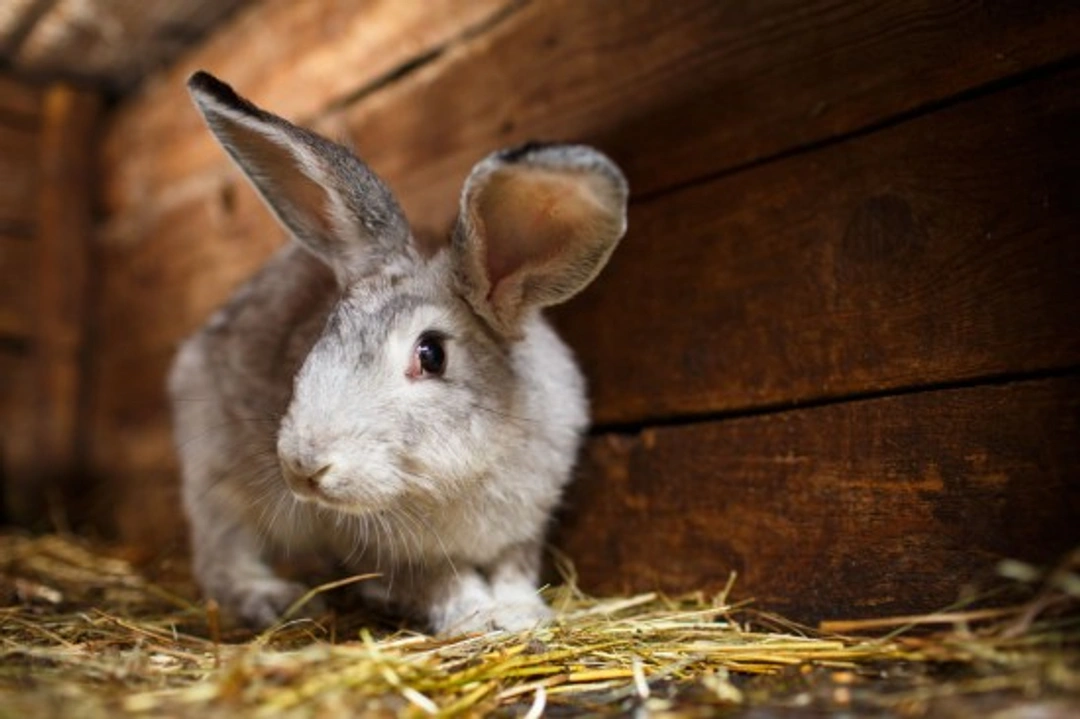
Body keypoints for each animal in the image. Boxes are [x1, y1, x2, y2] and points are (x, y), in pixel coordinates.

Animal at [167, 71, 629, 635]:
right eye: (327, 332)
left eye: (431, 355)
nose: (304, 466)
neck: (456, 477)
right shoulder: (396, 554)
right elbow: (442, 581)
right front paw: (475, 617)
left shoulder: (525, 529)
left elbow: (513, 569)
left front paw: (522, 613)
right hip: (216, 476)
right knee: (222, 553)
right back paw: (271, 597)